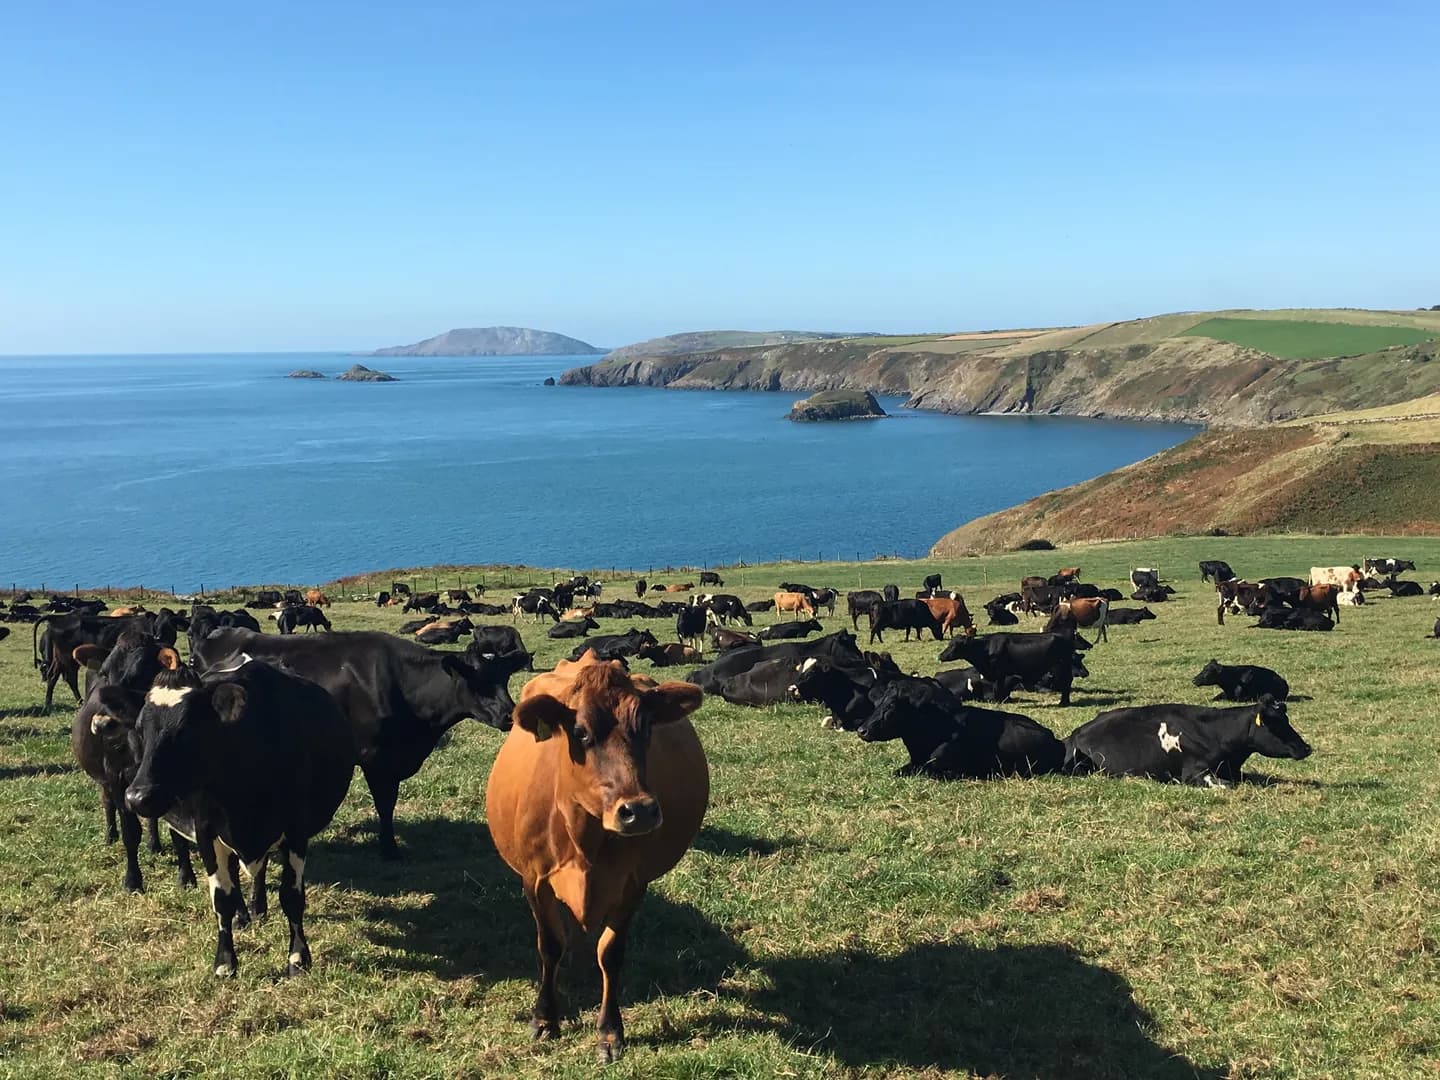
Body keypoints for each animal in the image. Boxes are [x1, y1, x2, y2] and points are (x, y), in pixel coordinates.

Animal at [124, 658, 354, 976]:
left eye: (186, 730)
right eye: (140, 730)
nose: (138, 797)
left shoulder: (296, 832)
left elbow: (292, 897)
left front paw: (298, 958)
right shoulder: (207, 832)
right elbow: (222, 899)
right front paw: (225, 961)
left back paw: (258, 909)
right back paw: (244, 915)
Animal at [194, 629, 518, 858]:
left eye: (503, 678)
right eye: (476, 680)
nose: (509, 715)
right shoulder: (376, 758)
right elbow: (385, 804)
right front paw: (389, 849)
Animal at [485, 654, 707, 1062]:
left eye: (646, 726)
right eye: (580, 731)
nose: (639, 811)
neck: (582, 837)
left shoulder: (633, 884)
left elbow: (610, 953)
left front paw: (609, 1030)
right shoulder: (533, 880)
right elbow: (549, 946)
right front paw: (545, 1018)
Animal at [939, 632, 1078, 706]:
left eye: (955, 645)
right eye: (949, 643)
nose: (940, 655)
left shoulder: (999, 673)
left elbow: (998, 688)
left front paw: (998, 701)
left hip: (1062, 667)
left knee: (1066, 683)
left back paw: (1063, 703)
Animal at [1064, 696, 1310, 787]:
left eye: (1286, 719)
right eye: (1273, 723)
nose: (1305, 748)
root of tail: (1075, 734)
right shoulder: (1194, 772)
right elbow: (1227, 785)